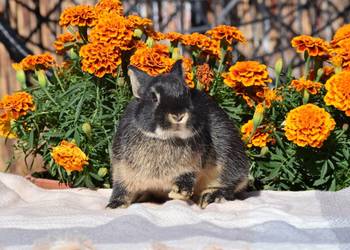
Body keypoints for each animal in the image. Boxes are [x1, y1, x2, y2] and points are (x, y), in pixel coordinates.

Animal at [106, 60, 249, 209]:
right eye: (154, 97)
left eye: (187, 94)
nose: (178, 115)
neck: (166, 138)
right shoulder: (123, 170)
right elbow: (122, 188)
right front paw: (114, 205)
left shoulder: (191, 166)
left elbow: (187, 177)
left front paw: (178, 192)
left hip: (229, 156)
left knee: (231, 184)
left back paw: (210, 197)